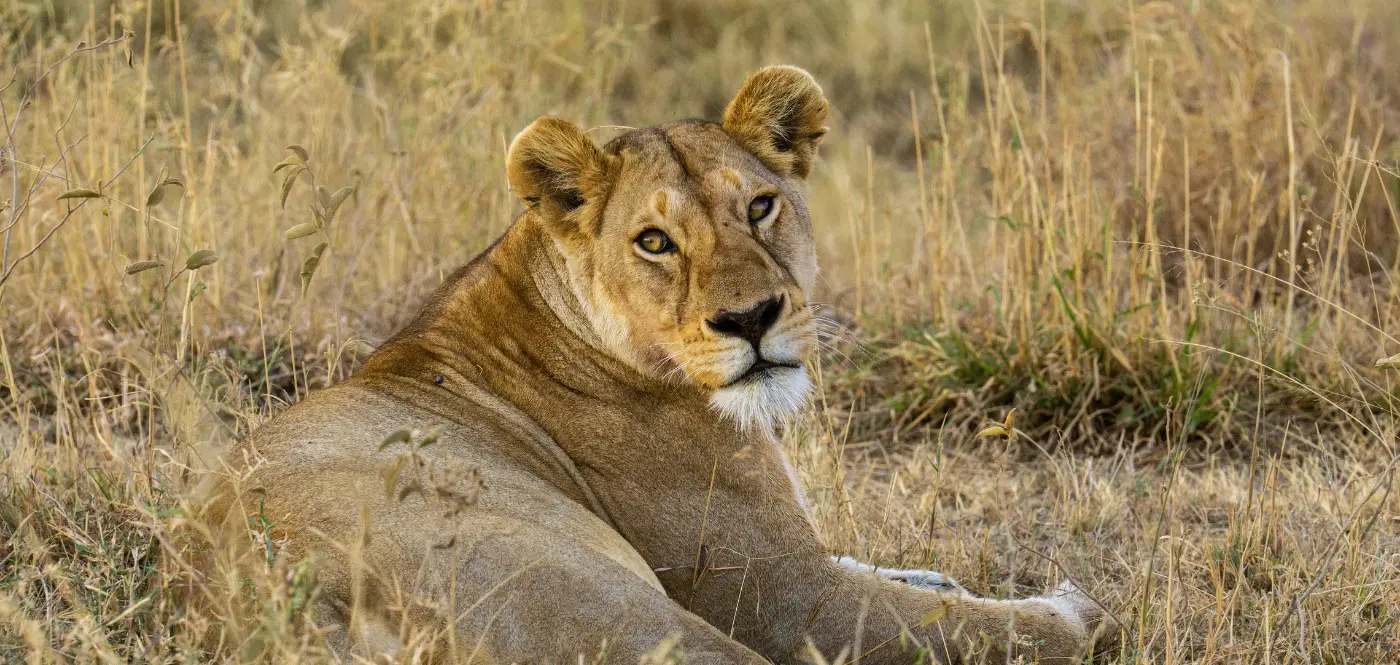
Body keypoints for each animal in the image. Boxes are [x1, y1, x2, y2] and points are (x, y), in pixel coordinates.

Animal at [201, 66, 1119, 664]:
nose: (751, 319)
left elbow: (906, 574)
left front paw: (950, 577)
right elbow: (978, 627)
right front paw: (1074, 609)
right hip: (616, 607)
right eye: (654, 241)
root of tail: (276, 604)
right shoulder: (789, 598)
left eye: (761, 205)